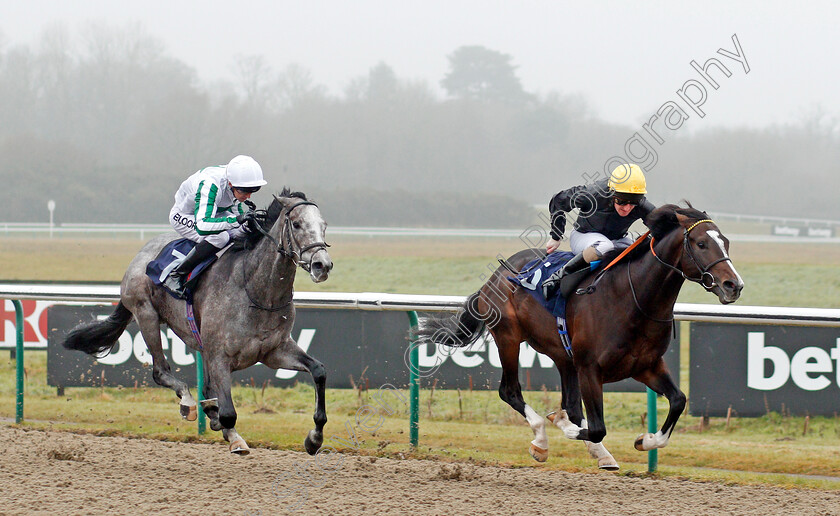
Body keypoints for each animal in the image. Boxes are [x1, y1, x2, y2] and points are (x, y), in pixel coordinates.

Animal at [61, 189, 332, 456]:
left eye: (324, 225)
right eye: (296, 224)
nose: (323, 265)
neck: (257, 290)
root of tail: (141, 254)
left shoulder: (274, 351)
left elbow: (319, 371)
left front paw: (314, 438)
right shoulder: (220, 356)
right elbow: (229, 412)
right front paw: (233, 437)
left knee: (205, 389)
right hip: (146, 313)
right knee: (161, 371)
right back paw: (188, 402)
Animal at [414, 204, 740, 470]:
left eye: (725, 242)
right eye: (701, 243)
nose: (733, 285)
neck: (632, 298)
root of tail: (493, 278)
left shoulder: (645, 366)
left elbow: (678, 400)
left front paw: (644, 441)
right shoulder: (590, 368)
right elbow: (596, 426)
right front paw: (562, 424)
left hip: (563, 356)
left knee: (569, 403)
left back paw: (599, 453)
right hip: (508, 337)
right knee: (510, 391)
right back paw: (542, 441)